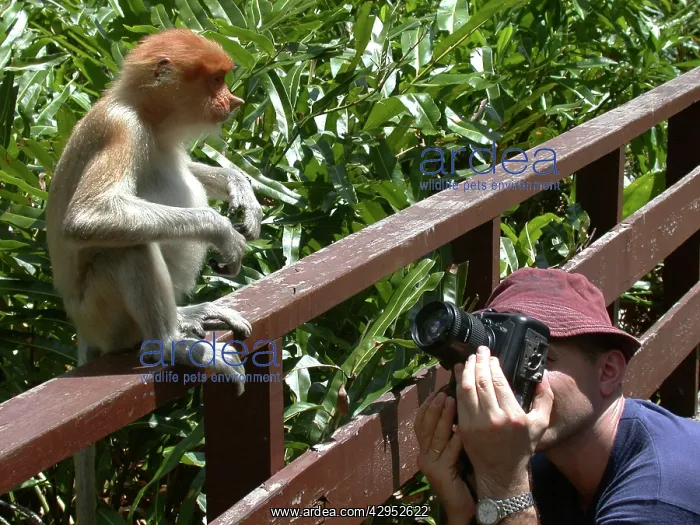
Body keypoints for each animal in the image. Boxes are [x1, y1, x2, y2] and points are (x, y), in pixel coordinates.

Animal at [45, 29, 264, 524]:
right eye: (216, 80)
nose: (235, 101)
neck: (149, 117)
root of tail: (79, 326)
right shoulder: (121, 129)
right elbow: (87, 218)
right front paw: (223, 231)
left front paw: (241, 189)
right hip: (101, 313)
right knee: (127, 249)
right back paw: (172, 342)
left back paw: (189, 316)